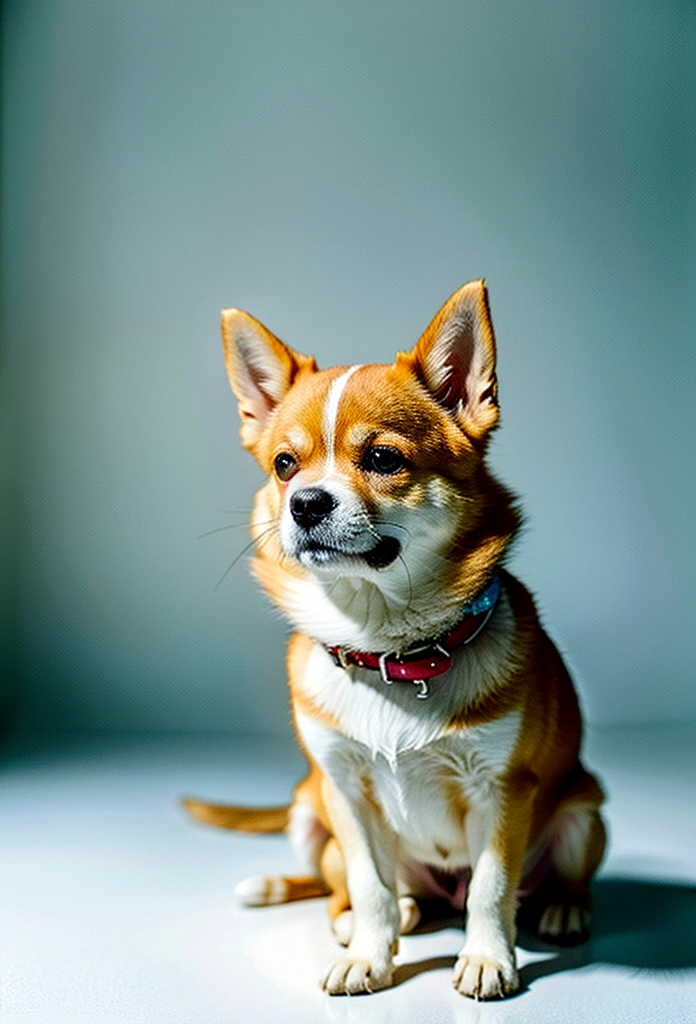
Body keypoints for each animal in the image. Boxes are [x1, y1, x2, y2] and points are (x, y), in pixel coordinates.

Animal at [185, 280, 601, 999]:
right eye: (284, 465)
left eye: (383, 459)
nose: (304, 502)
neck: (387, 648)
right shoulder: (345, 792)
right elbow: (367, 884)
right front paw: (370, 956)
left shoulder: (503, 793)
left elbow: (491, 887)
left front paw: (487, 958)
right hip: (309, 813)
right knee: (340, 886)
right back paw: (352, 910)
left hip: (585, 811)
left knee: (532, 880)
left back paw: (563, 907)